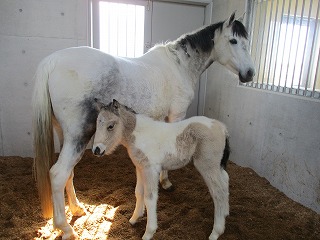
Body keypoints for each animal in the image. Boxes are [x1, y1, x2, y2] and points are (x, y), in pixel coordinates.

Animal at [92, 99, 230, 240]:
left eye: (110, 126)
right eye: (97, 124)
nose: (96, 150)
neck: (138, 135)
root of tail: (222, 128)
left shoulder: (150, 170)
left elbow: (150, 197)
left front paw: (149, 232)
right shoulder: (140, 168)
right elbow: (138, 192)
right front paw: (134, 218)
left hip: (208, 166)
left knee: (218, 192)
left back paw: (216, 232)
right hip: (217, 166)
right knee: (225, 182)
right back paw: (225, 212)